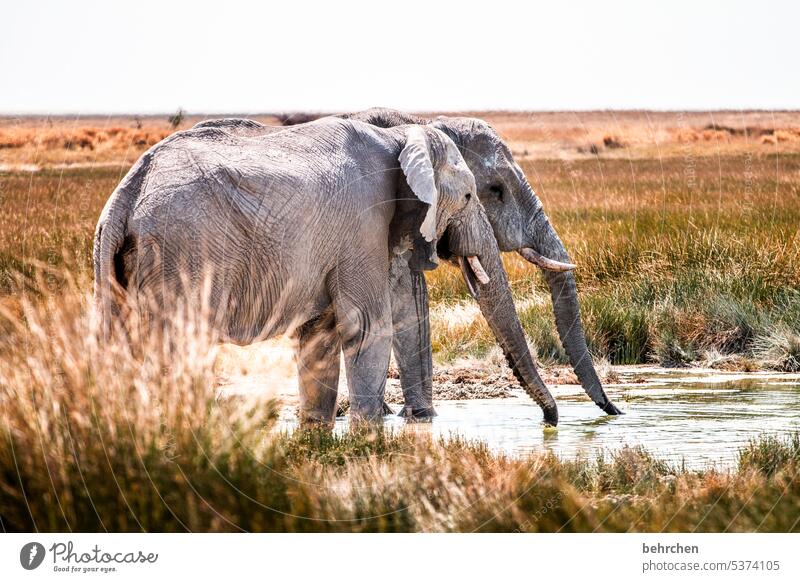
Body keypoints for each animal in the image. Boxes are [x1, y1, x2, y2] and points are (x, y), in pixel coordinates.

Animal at [90, 116, 560, 424]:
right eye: (472, 195)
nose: (551, 423)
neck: (398, 134)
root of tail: (128, 191)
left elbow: (320, 334)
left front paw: (318, 431)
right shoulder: (363, 224)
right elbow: (367, 323)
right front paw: (370, 433)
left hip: (115, 264)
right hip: (181, 254)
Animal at [191, 109, 620, 424]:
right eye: (494, 191)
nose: (614, 411)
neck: (420, 122)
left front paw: (415, 419)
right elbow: (405, 303)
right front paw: (420, 419)